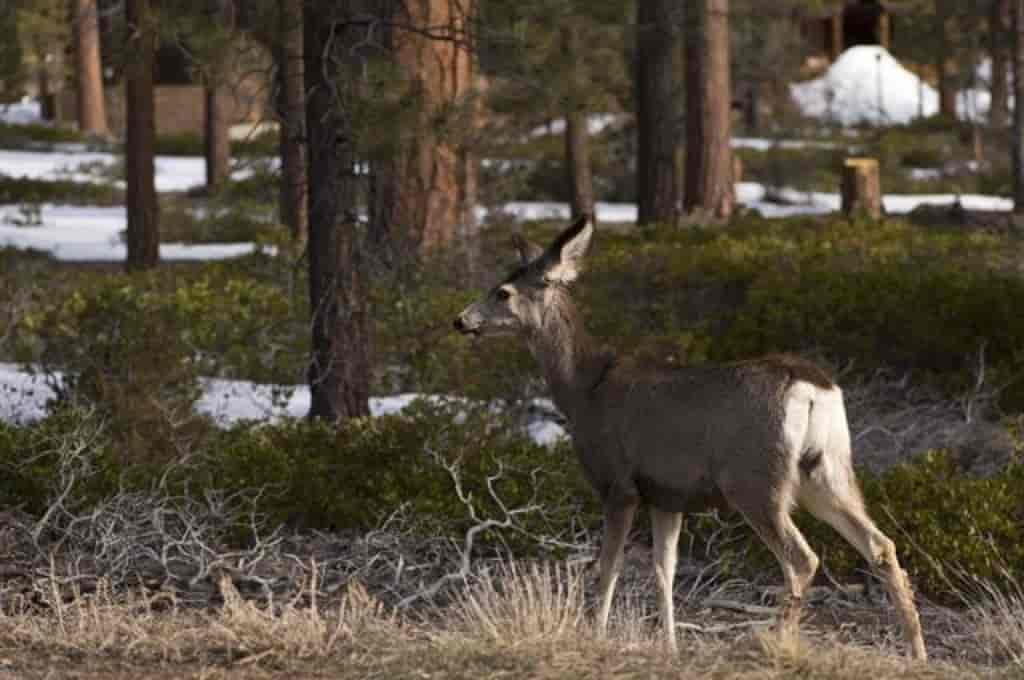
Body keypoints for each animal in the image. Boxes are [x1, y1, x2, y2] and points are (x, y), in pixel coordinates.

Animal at [454, 214, 929, 659]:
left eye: (503, 292)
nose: (460, 320)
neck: (583, 389)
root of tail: (813, 387)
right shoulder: (667, 495)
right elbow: (665, 570)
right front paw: (669, 645)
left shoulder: (618, 483)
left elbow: (608, 568)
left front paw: (596, 635)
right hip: (826, 469)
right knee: (881, 544)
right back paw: (917, 651)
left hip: (755, 478)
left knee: (801, 559)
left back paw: (775, 641)